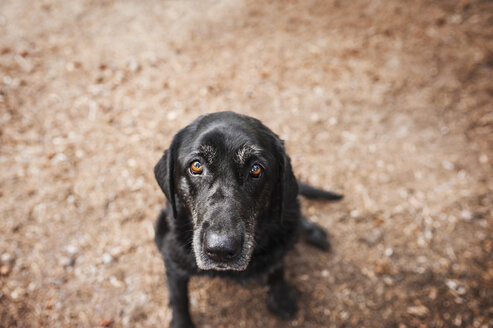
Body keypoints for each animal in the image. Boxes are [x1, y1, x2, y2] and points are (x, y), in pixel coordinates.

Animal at [154, 111, 342, 326]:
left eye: (255, 168)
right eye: (196, 166)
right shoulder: (172, 258)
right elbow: (179, 298)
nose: (220, 250)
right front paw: (181, 323)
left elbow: (278, 268)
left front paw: (281, 298)